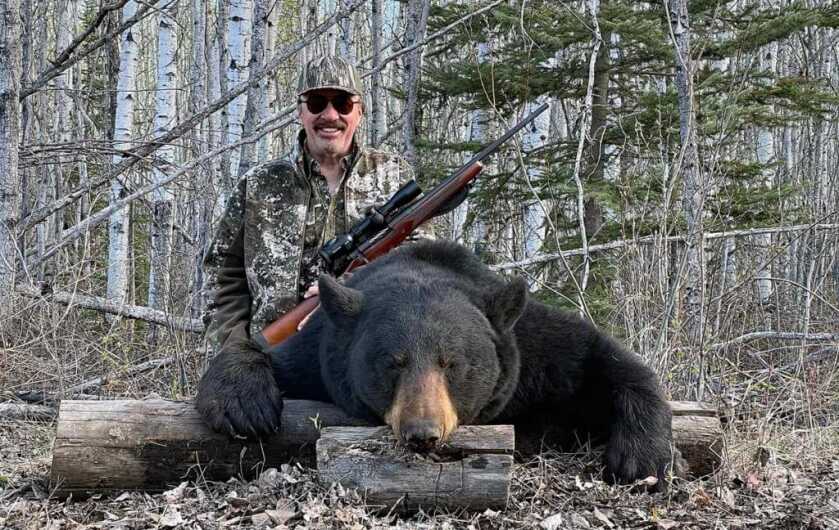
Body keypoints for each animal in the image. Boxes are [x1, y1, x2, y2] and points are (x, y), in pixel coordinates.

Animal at [196, 240, 676, 488]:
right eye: (392, 363)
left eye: (452, 363)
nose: (422, 432)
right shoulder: (320, 353)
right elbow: (256, 352)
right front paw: (244, 406)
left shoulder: (531, 348)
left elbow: (608, 359)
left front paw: (641, 459)